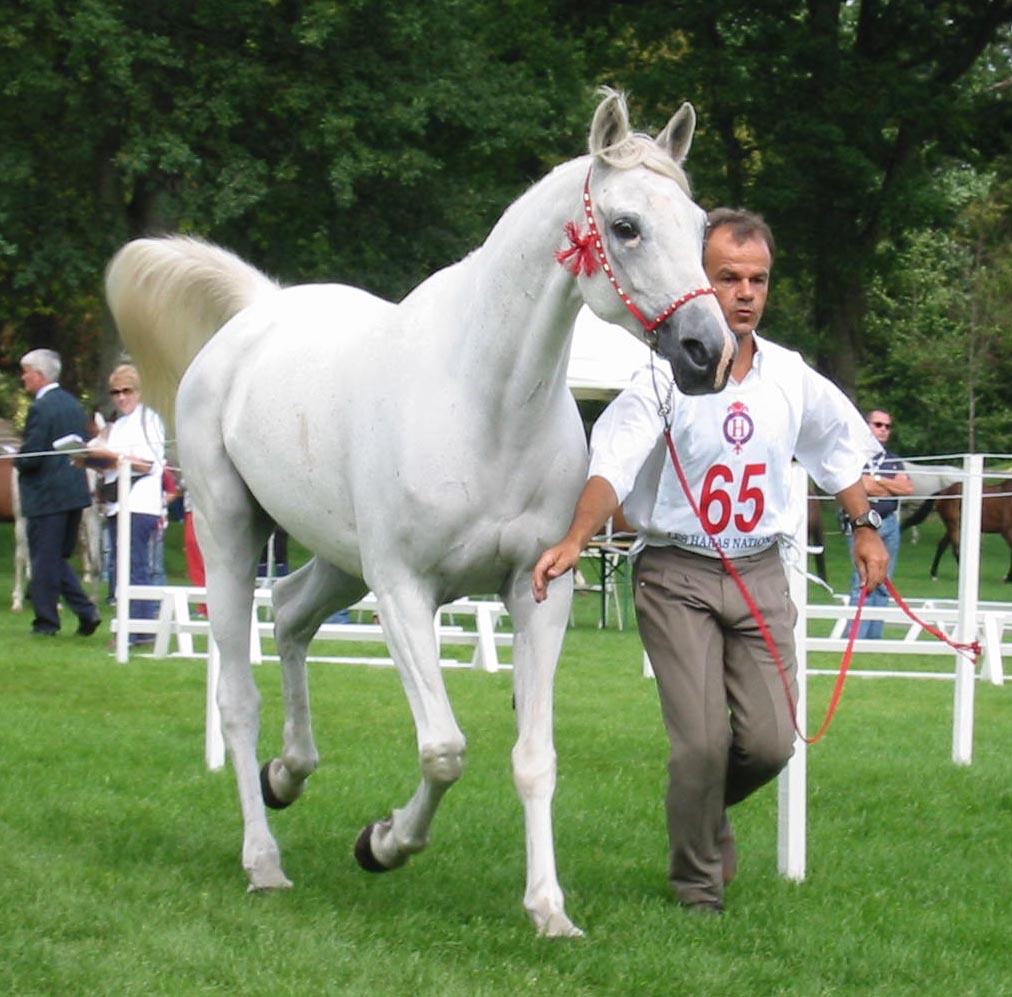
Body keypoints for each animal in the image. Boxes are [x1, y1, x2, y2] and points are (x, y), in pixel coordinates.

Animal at [104, 85, 736, 935]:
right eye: (627, 225)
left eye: (700, 227)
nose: (708, 351)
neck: (486, 402)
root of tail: (253, 318)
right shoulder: (404, 588)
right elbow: (444, 748)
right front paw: (383, 842)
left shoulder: (539, 589)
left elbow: (534, 757)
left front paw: (548, 908)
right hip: (231, 532)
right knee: (237, 694)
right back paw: (263, 859)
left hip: (339, 562)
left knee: (292, 614)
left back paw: (288, 772)